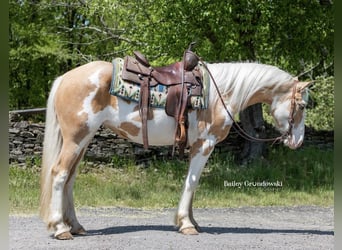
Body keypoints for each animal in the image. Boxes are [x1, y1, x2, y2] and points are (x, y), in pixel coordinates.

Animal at [38, 57, 312, 239]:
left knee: (70, 178)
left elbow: (192, 184)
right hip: (76, 138)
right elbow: (192, 183)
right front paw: (186, 224)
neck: (222, 92)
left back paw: (75, 226)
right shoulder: (205, 144)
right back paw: (60, 228)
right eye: (302, 106)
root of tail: (65, 78)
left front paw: (191, 221)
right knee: (60, 174)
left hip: (83, 140)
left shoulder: (197, 146)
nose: (297, 142)